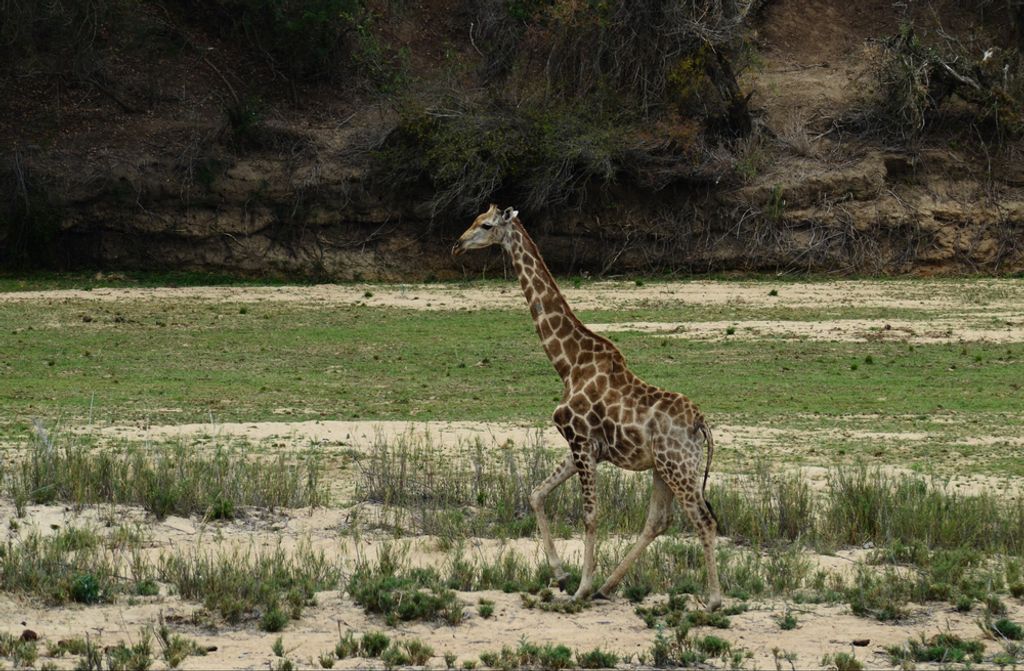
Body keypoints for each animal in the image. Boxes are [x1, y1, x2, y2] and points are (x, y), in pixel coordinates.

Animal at [452, 204, 722, 610]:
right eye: (473, 219)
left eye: (485, 225)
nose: (457, 244)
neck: (568, 363)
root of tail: (701, 424)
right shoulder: (583, 447)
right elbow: (536, 494)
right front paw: (562, 575)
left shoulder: (580, 440)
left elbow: (590, 515)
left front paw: (578, 588)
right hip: (663, 468)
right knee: (659, 521)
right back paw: (607, 587)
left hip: (679, 467)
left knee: (703, 520)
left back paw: (714, 599)